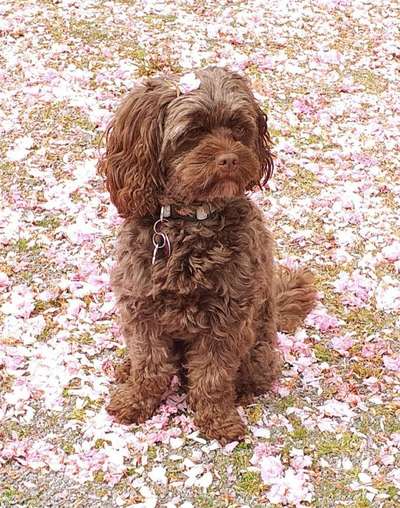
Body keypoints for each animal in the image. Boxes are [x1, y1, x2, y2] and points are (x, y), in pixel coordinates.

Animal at [98, 67, 318, 444]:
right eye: (192, 132)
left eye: (238, 128)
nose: (230, 159)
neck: (191, 221)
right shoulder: (141, 309)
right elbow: (149, 365)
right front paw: (136, 400)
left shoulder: (227, 319)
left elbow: (213, 375)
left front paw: (217, 420)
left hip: (259, 349)